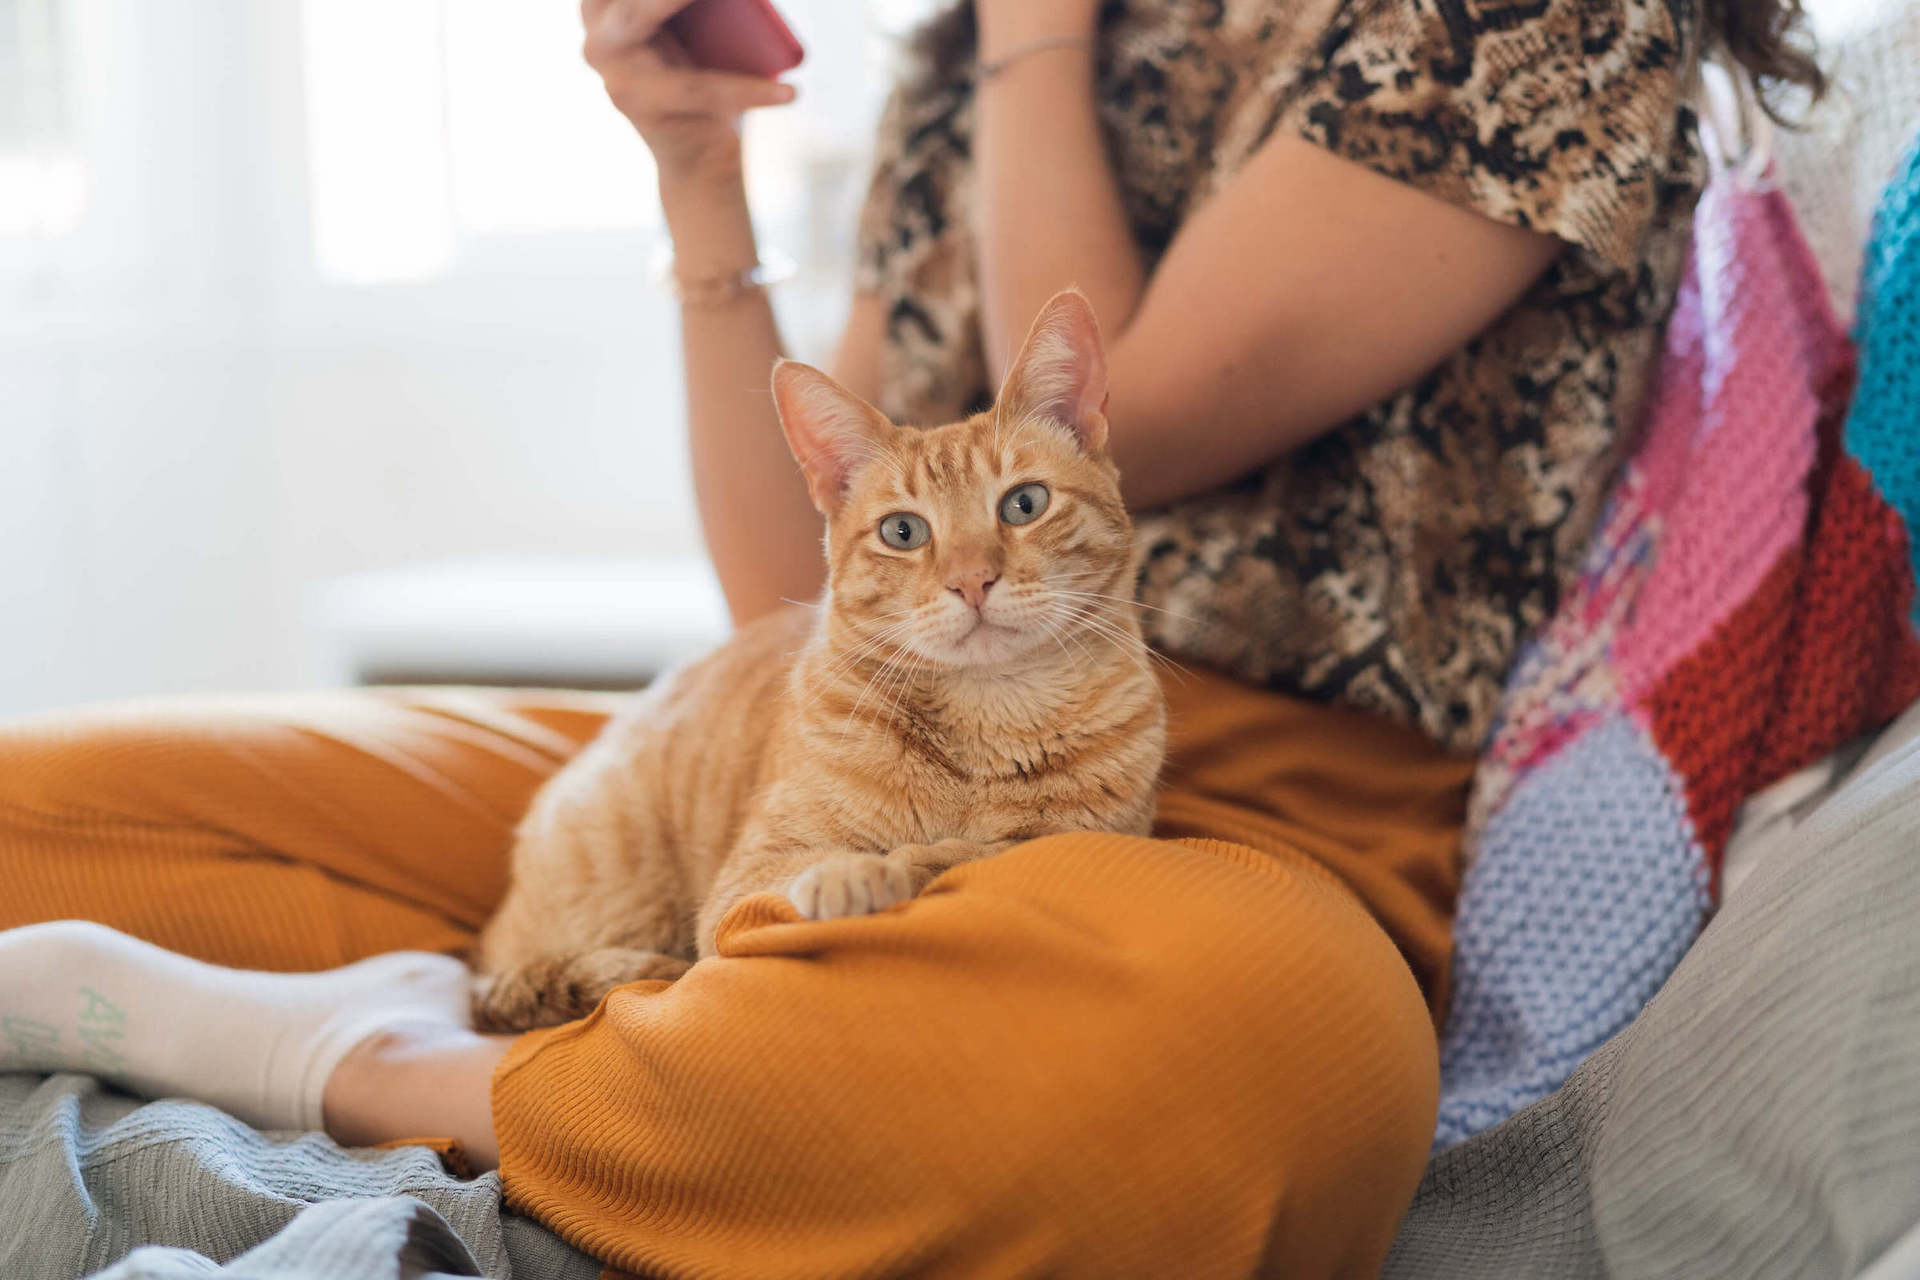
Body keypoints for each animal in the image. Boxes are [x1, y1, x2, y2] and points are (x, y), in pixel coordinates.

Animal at [476, 289, 1167, 1028]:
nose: (972, 580)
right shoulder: (746, 881)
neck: (988, 721)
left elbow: (979, 850)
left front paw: (904, 861)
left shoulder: (1095, 834)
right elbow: (867, 862)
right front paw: (856, 872)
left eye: (1025, 503)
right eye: (903, 531)